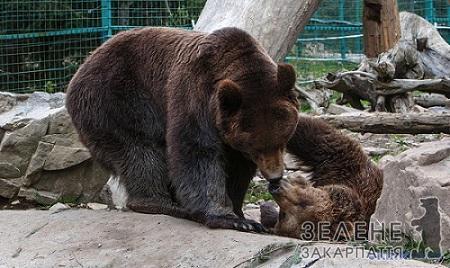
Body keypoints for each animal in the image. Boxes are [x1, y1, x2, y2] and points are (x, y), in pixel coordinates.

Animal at [66, 27, 298, 232]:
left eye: (283, 141)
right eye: (256, 148)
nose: (275, 176)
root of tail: (83, 66)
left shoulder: (230, 132)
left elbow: (236, 169)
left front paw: (240, 213)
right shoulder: (194, 92)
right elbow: (196, 152)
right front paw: (231, 218)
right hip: (116, 101)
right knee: (140, 151)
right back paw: (162, 203)